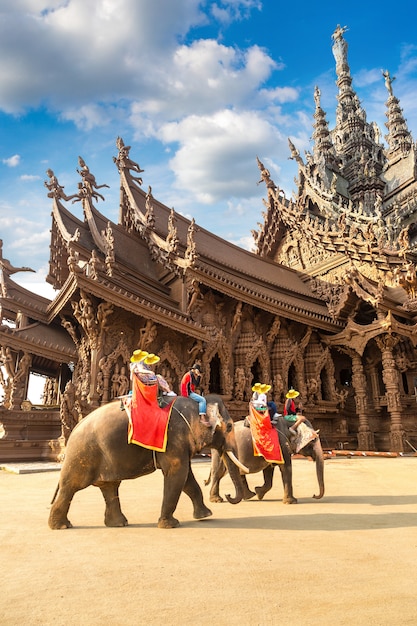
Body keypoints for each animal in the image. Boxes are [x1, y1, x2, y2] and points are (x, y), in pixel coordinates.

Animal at [48, 392, 247, 528]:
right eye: (230, 426)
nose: (228, 496)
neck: (194, 403)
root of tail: (74, 429)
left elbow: (187, 479)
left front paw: (205, 515)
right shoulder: (173, 437)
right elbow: (177, 474)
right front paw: (170, 525)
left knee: (110, 487)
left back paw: (118, 523)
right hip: (82, 455)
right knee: (71, 487)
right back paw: (61, 526)